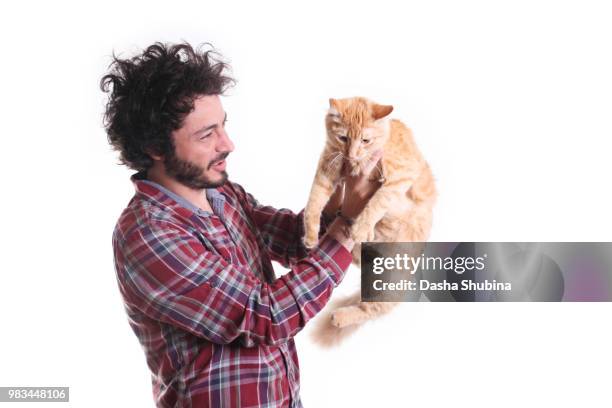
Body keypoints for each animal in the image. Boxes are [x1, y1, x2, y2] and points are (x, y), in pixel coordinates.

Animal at [304, 97, 438, 346]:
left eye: (365, 140)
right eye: (343, 138)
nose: (352, 153)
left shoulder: (401, 176)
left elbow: (377, 202)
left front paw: (361, 228)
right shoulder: (327, 168)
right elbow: (313, 202)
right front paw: (309, 235)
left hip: (388, 277)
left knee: (375, 308)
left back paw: (340, 317)